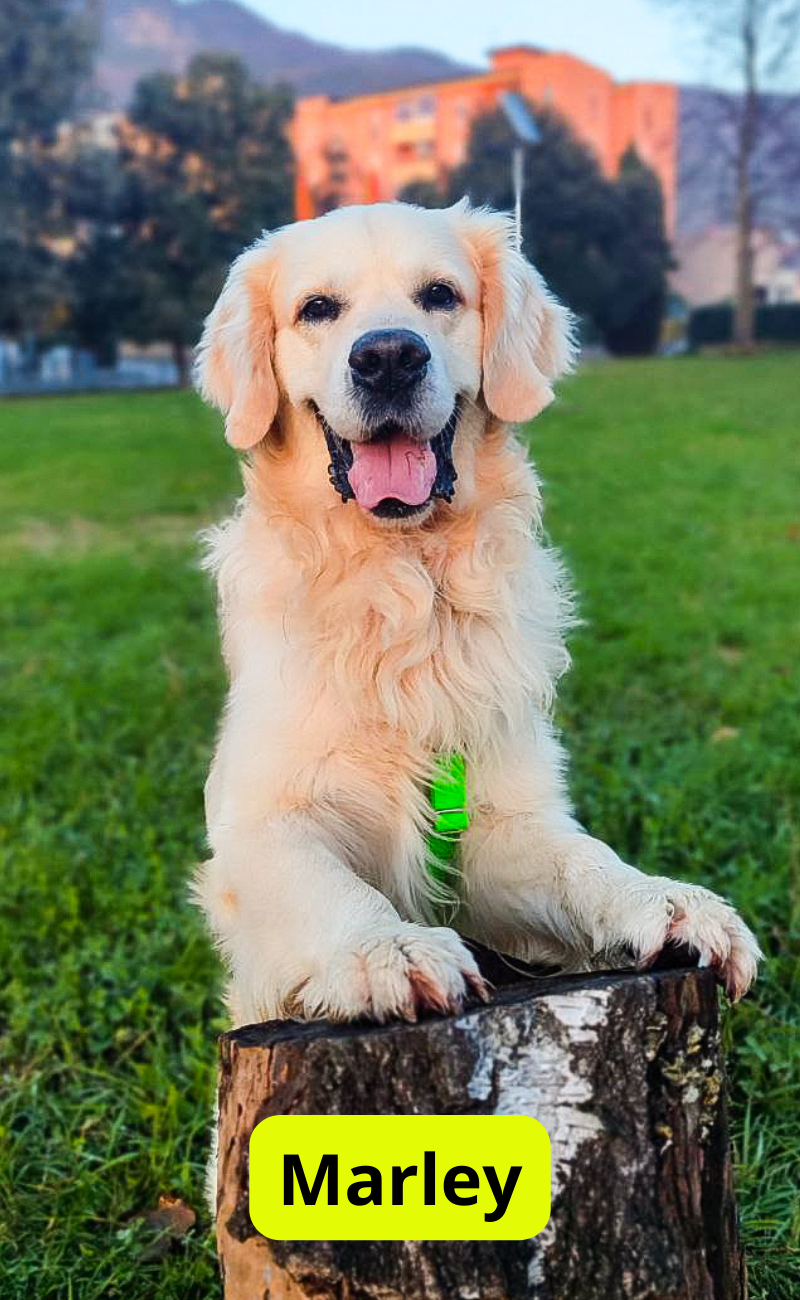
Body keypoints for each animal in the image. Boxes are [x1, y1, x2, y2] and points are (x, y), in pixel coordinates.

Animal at [191, 197, 759, 1024]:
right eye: (317, 309)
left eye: (440, 295)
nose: (388, 357)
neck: (406, 586)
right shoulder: (260, 820)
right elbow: (323, 882)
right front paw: (384, 951)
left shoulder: (500, 825)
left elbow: (582, 860)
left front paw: (666, 900)